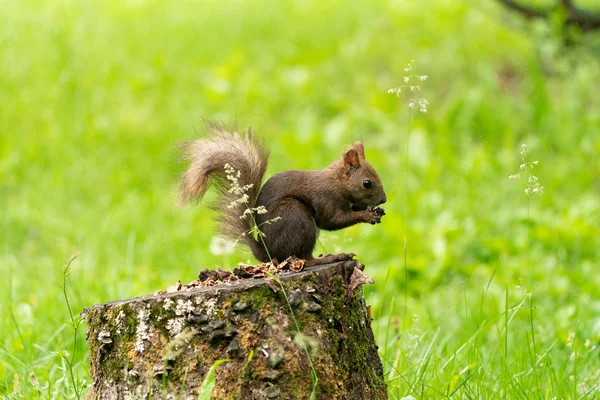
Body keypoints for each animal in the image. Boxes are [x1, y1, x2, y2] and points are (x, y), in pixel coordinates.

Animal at [178, 122, 386, 266]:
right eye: (367, 183)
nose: (384, 200)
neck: (337, 181)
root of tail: (269, 253)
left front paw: (375, 211)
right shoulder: (327, 198)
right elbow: (333, 220)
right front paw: (367, 215)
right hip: (295, 216)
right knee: (305, 258)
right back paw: (329, 258)